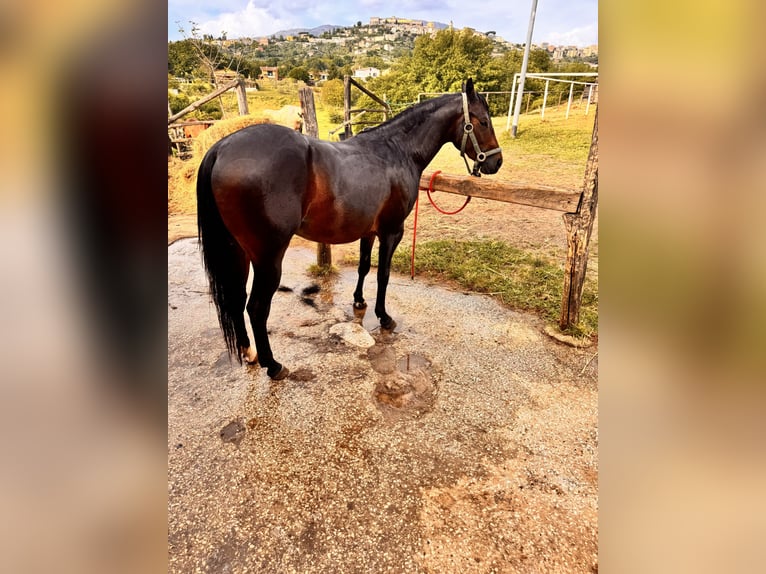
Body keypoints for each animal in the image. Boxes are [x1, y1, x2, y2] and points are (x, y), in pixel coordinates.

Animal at [197, 78, 503, 379]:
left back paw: (249, 353)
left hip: (237, 251)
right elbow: (383, 274)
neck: (396, 150)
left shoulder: (368, 231)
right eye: (484, 121)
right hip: (268, 257)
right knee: (257, 307)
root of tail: (220, 149)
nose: (496, 162)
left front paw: (358, 302)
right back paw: (273, 365)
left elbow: (364, 267)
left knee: (236, 298)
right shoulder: (392, 231)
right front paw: (384, 317)